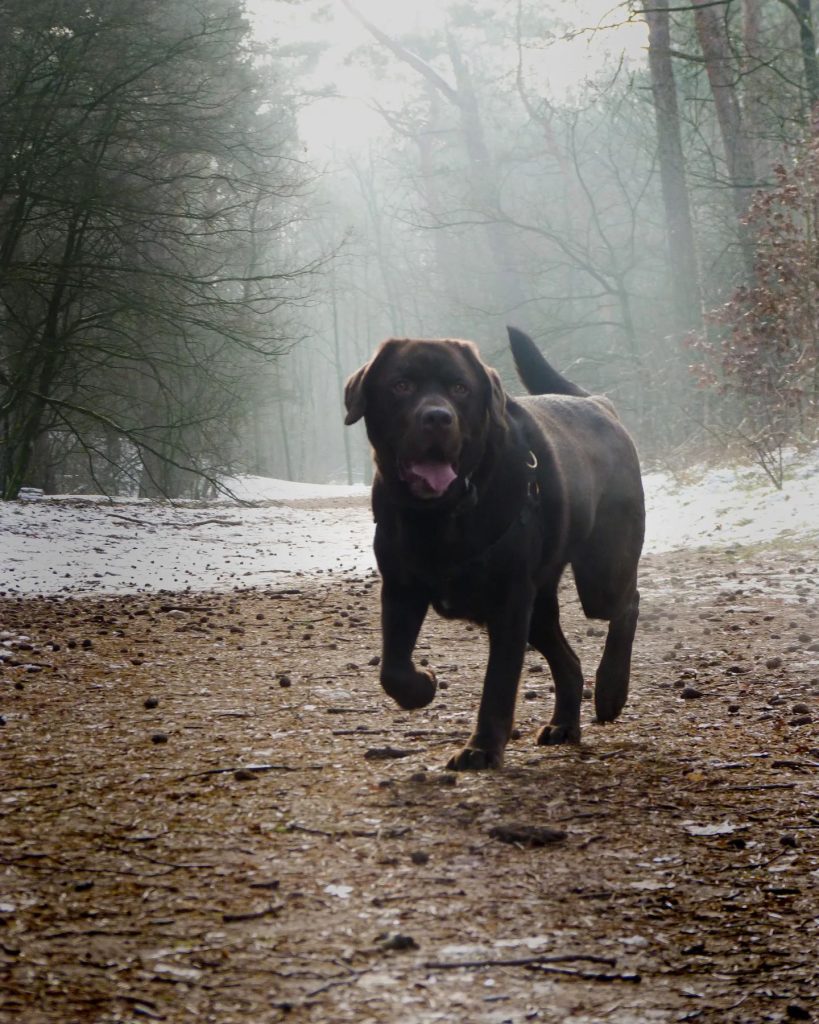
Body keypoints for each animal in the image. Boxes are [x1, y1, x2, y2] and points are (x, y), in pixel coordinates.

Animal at [341, 327, 642, 770]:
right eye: (401, 385)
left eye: (460, 388)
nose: (438, 417)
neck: (442, 515)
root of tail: (599, 403)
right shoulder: (400, 588)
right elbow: (392, 669)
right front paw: (422, 687)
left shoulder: (509, 601)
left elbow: (498, 682)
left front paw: (481, 747)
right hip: (540, 608)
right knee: (569, 661)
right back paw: (564, 724)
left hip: (600, 573)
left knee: (627, 604)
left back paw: (610, 691)